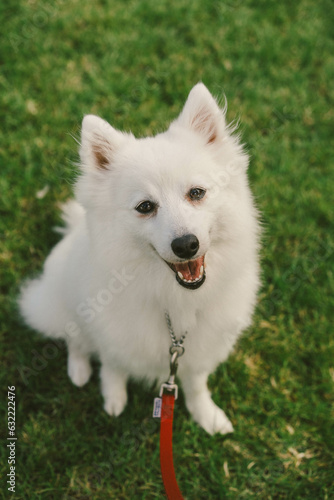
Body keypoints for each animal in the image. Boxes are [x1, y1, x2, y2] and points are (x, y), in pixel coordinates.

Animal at [18, 82, 260, 434]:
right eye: (145, 206)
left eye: (197, 193)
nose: (186, 245)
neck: (173, 299)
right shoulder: (113, 337)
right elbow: (112, 368)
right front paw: (113, 398)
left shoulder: (196, 350)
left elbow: (196, 384)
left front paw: (206, 414)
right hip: (60, 303)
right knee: (74, 338)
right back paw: (78, 370)